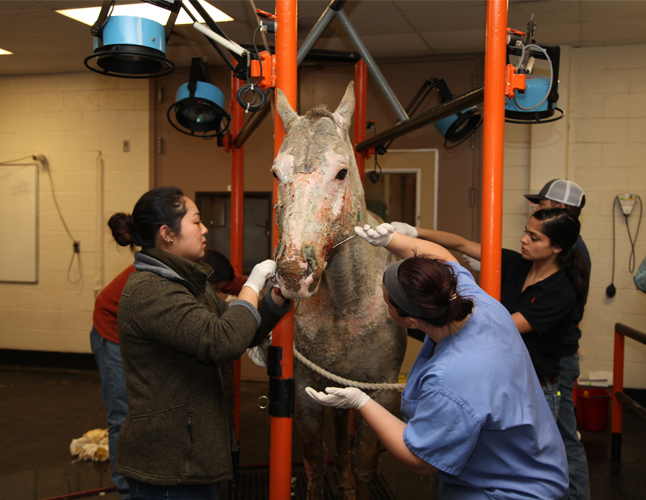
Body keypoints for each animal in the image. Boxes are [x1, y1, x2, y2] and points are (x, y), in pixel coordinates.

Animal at [274, 83, 410, 500]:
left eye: (341, 172)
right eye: (276, 172)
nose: (293, 272)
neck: (347, 304)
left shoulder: (381, 392)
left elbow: (365, 460)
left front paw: (356, 481)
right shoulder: (306, 390)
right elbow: (316, 460)